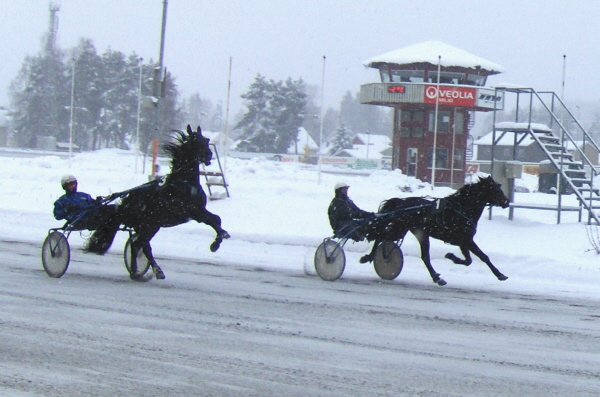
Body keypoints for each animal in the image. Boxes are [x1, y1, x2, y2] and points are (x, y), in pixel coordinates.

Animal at [86, 124, 230, 278]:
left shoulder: (199, 210)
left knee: (138, 245)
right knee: (141, 246)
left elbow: (216, 219)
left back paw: (139, 271)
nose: (209, 155)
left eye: (206, 139)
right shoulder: (193, 212)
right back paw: (151, 270)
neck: (185, 183)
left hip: (150, 226)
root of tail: (125, 204)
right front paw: (217, 242)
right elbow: (213, 220)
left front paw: (218, 240)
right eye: (194, 141)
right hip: (147, 226)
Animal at [364, 176, 508, 284]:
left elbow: (468, 261)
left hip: (417, 233)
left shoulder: (463, 242)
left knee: (424, 257)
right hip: (401, 229)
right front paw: (500, 274)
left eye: (499, 186)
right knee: (380, 236)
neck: (461, 209)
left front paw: (451, 257)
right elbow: (483, 257)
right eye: (494, 189)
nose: (507, 202)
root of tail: (402, 202)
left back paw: (436, 277)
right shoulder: (467, 240)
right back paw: (370, 257)